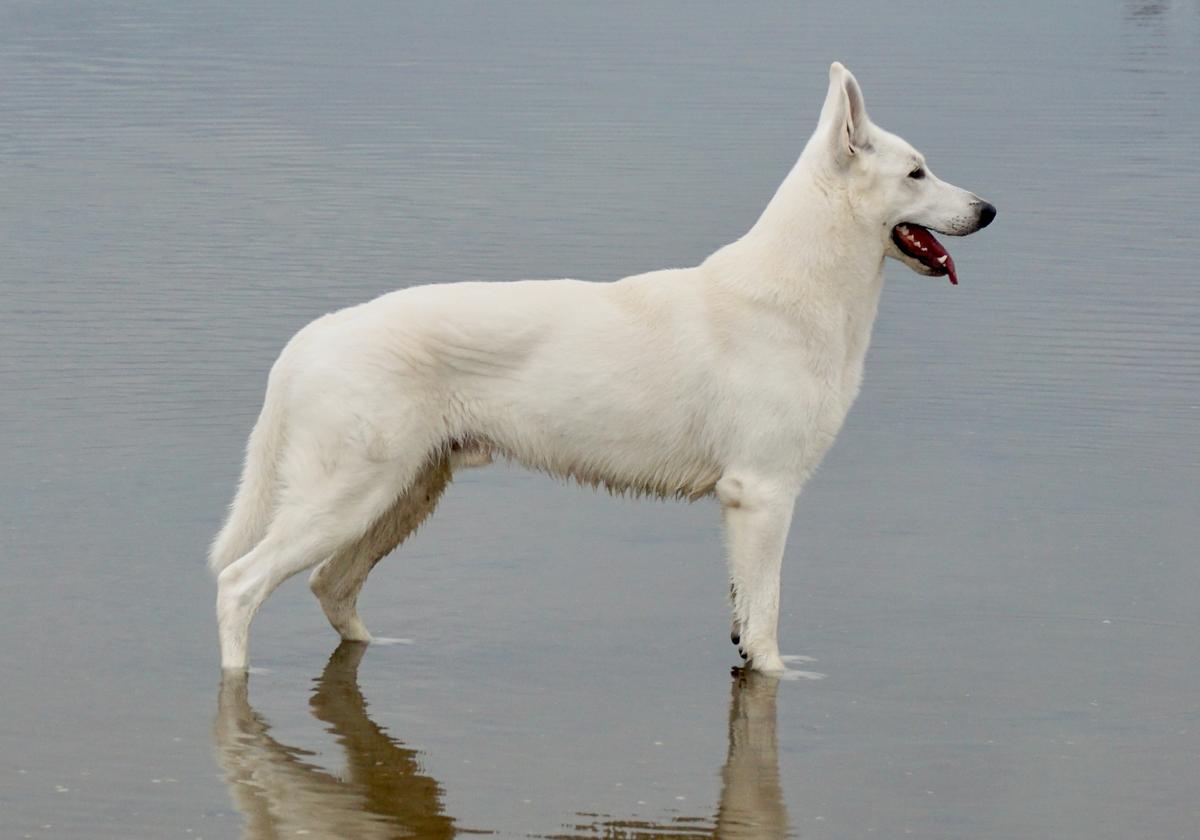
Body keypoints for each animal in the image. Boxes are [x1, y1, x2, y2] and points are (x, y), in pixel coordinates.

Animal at [213, 62, 993, 672]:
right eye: (916, 173)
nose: (988, 210)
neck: (798, 289)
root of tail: (309, 339)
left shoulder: (747, 507)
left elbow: (746, 619)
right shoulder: (763, 495)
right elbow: (767, 622)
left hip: (403, 494)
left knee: (330, 587)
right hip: (348, 495)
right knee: (241, 583)